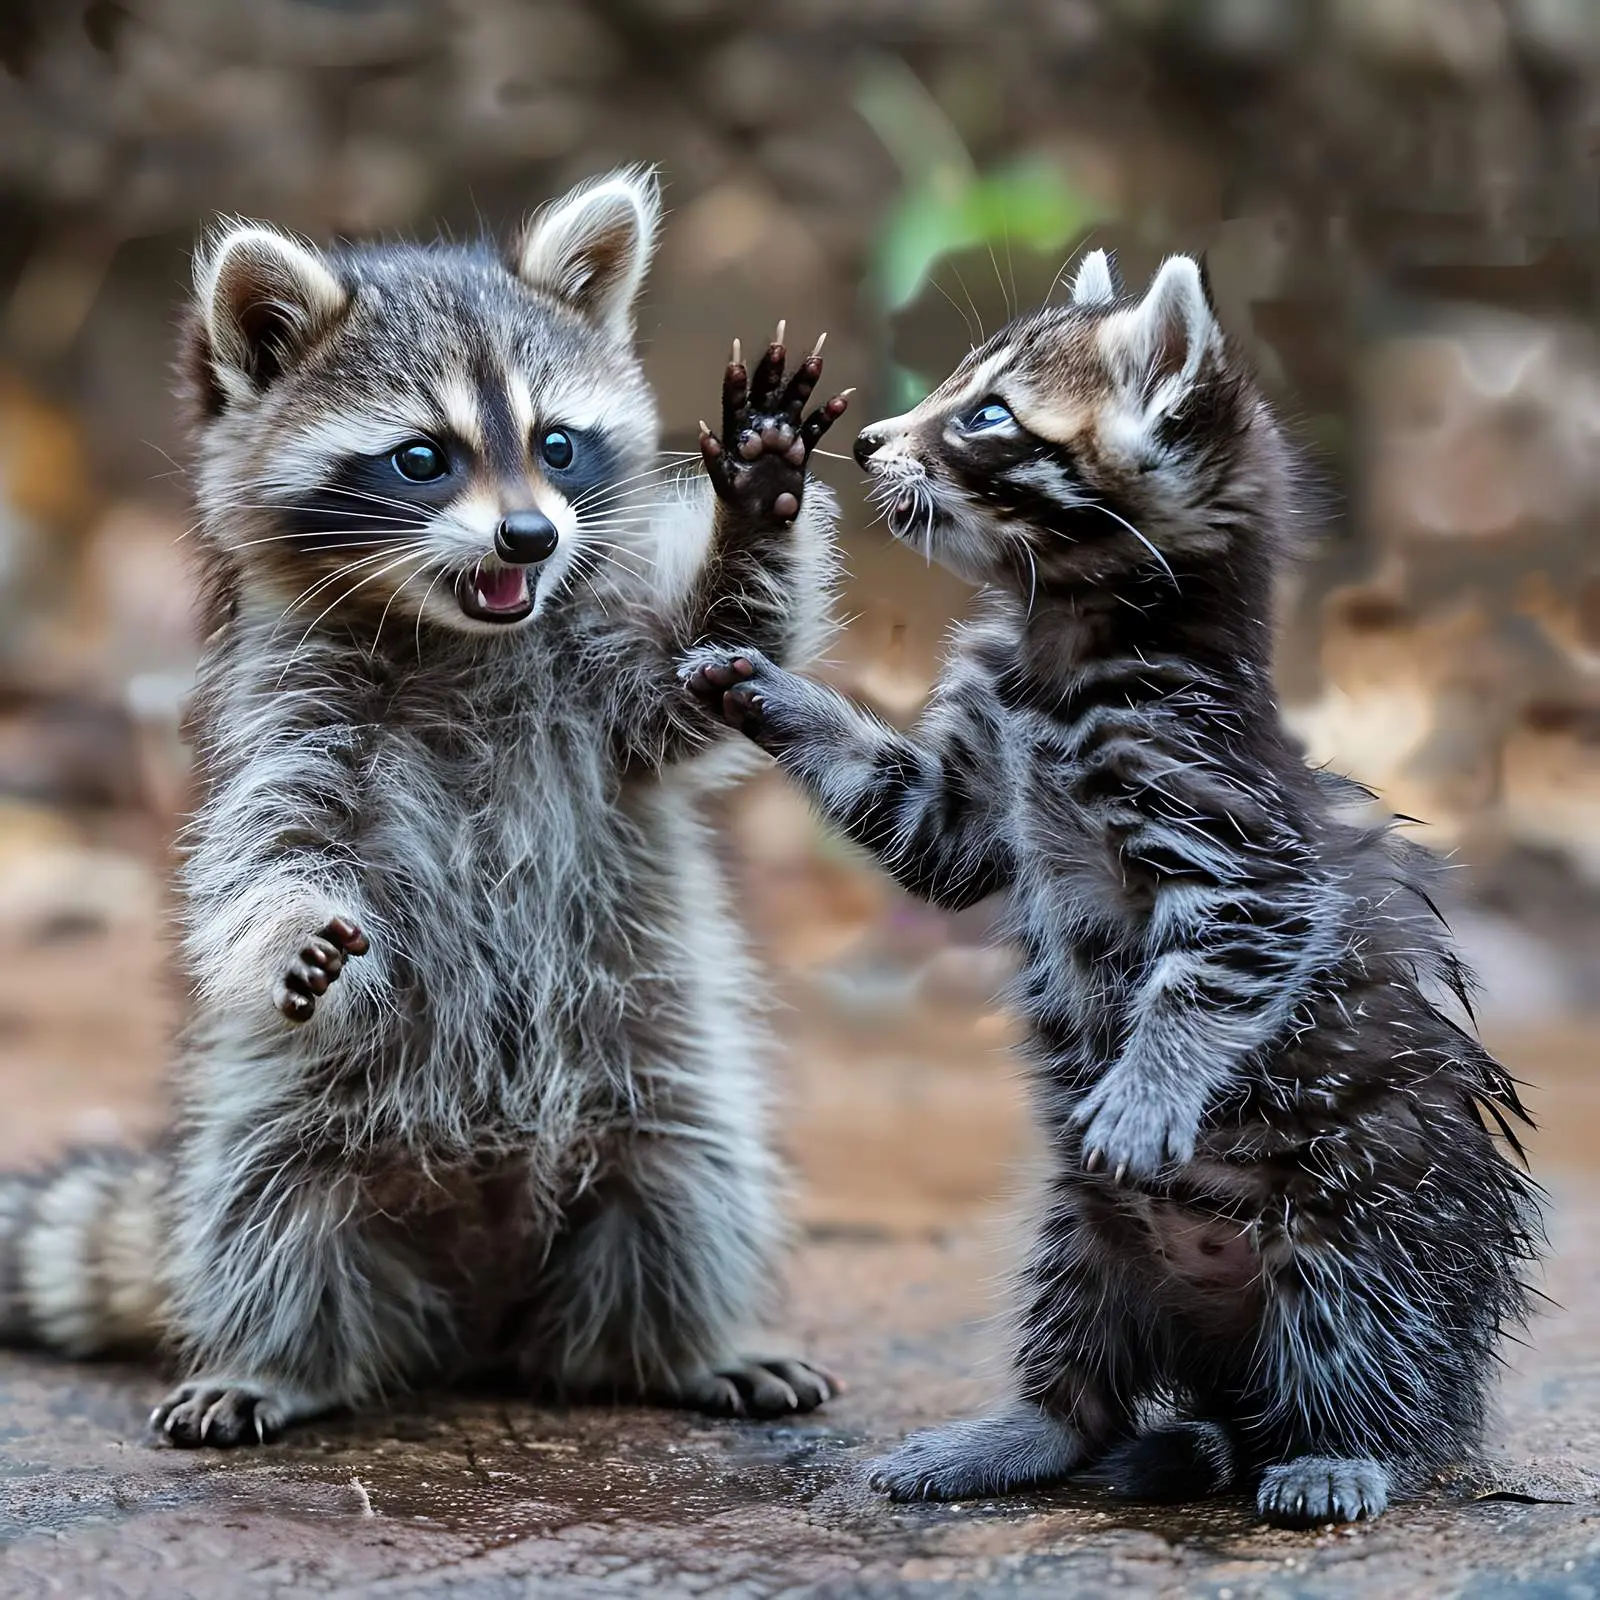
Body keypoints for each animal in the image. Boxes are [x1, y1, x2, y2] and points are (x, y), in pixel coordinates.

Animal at [0, 168, 854, 1446]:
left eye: (556, 445)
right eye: (421, 459)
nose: (530, 536)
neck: (457, 635)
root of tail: (476, 1317)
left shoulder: (604, 695)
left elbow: (715, 661)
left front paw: (754, 507)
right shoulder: (284, 714)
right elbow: (263, 852)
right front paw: (288, 927)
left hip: (653, 1073)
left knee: (686, 1181)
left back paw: (675, 1347)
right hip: (284, 1120)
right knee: (270, 1210)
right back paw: (278, 1360)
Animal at [684, 251, 1544, 1526]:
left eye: (988, 416)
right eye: (955, 387)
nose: (876, 440)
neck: (1062, 651)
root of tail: (1226, 1369)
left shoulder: (1231, 833)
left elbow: (1222, 964)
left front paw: (1150, 1084)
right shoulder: (969, 804)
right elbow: (912, 821)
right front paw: (773, 690)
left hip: (1364, 1228)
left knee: (1361, 1347)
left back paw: (1341, 1449)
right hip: (1083, 1230)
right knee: (1082, 1373)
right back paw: (1023, 1427)